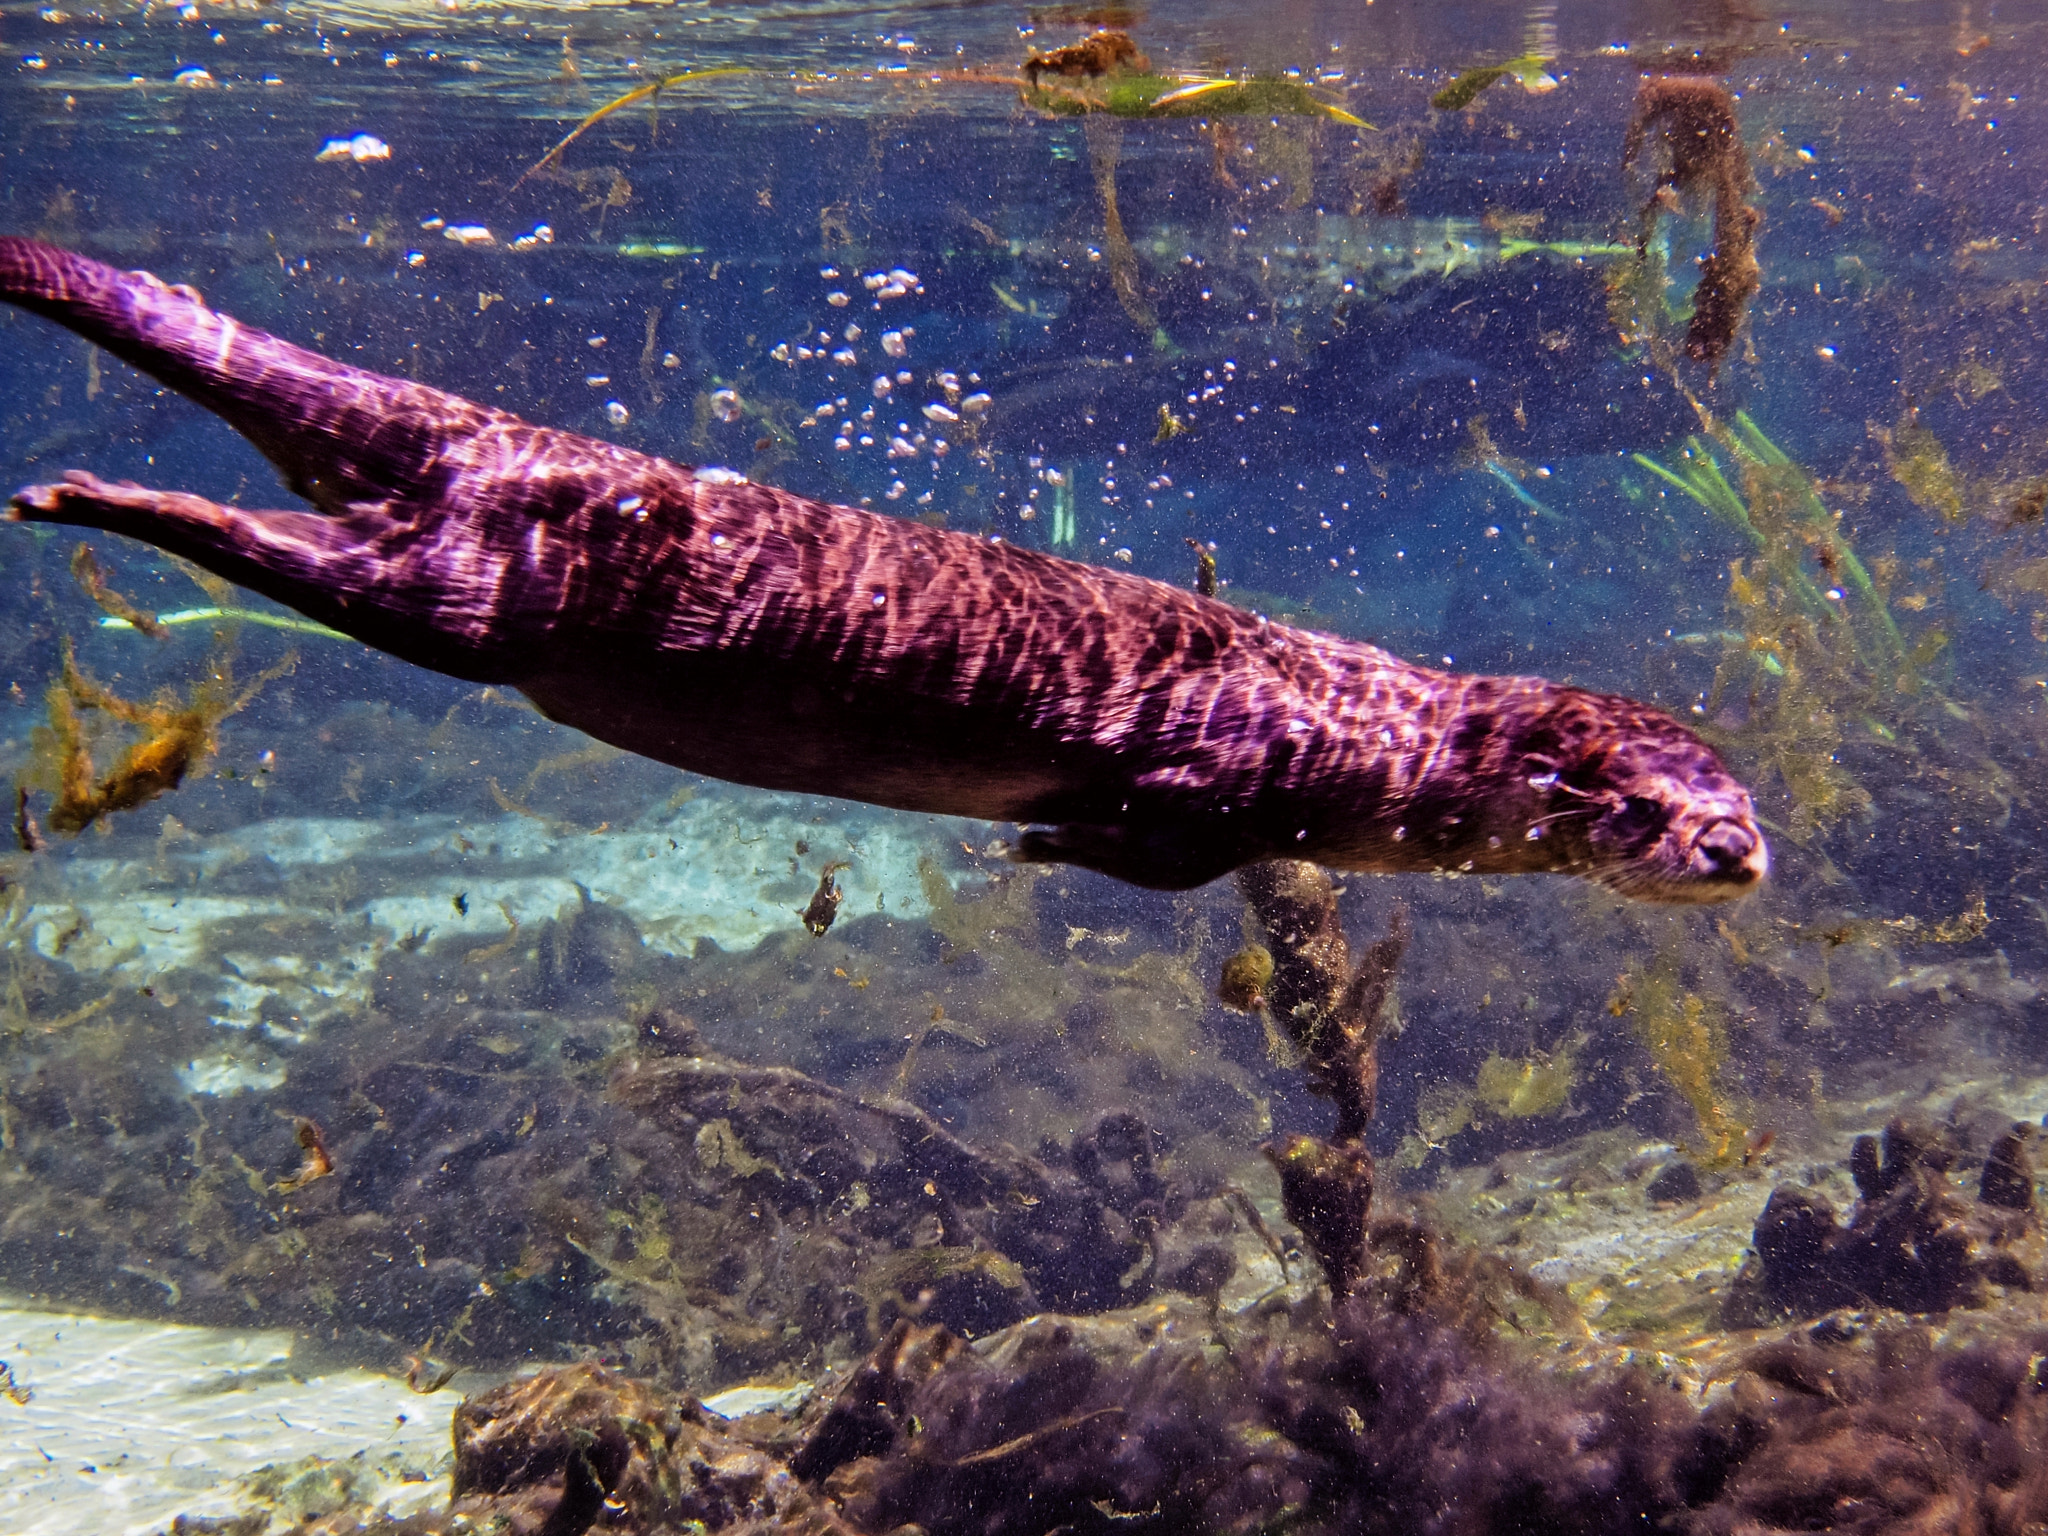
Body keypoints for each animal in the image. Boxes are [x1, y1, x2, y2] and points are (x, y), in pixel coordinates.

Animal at [0, 236, 1765, 900]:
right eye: (1645, 803)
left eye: (1746, 798)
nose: (1741, 853)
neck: (1390, 746)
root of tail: (490, 427)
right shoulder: (1231, 767)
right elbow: (1164, 838)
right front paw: (1047, 843)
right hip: (475, 581)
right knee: (306, 553)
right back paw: (82, 486)